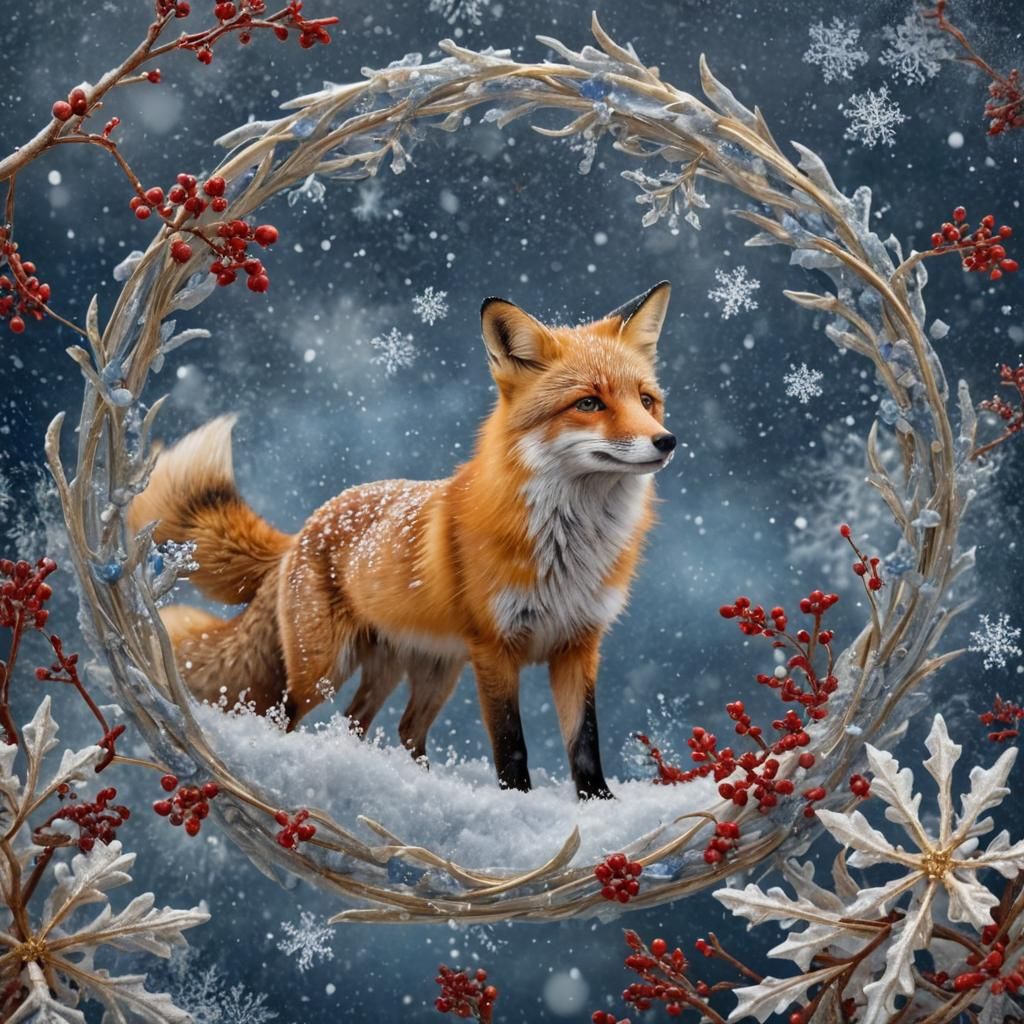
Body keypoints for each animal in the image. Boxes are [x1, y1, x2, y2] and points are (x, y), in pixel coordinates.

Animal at [128, 281, 675, 799]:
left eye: (646, 400)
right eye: (589, 403)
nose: (666, 441)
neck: (569, 549)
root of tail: (305, 527)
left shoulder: (578, 644)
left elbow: (584, 741)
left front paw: (598, 805)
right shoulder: (495, 650)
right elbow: (511, 745)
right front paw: (519, 804)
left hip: (428, 670)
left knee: (384, 726)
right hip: (324, 668)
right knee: (292, 715)